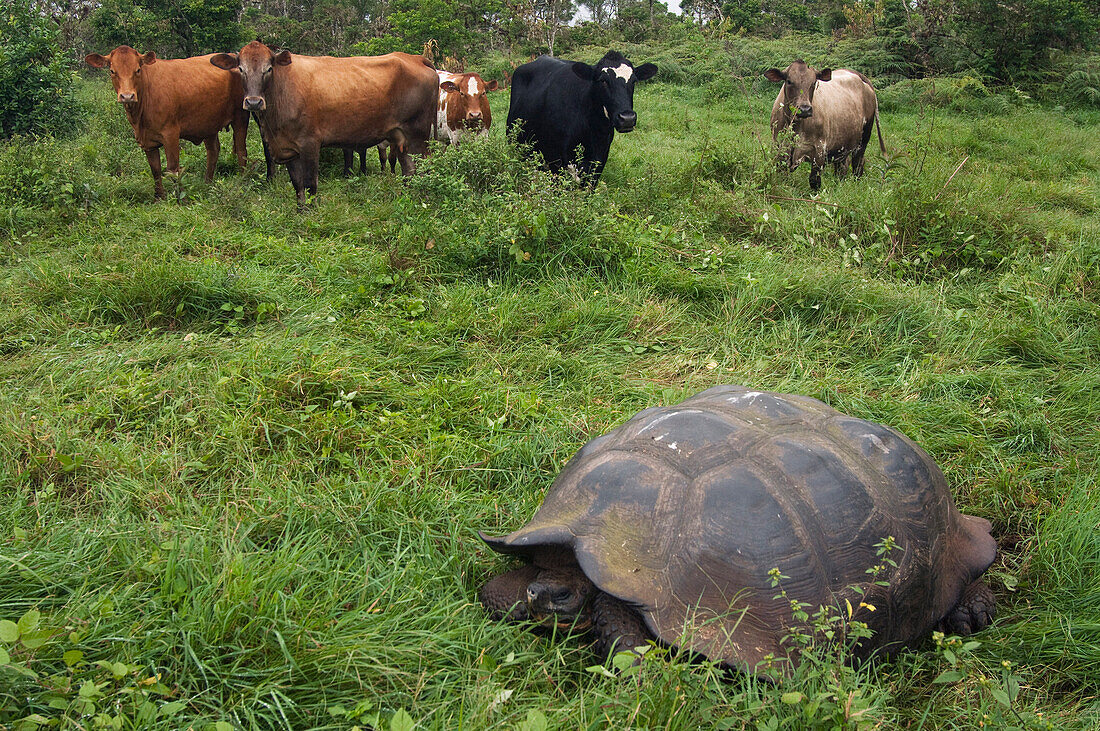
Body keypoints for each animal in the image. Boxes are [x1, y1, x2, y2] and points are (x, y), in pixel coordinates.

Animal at [86, 45, 251, 200]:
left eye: (137, 70)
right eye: (112, 71)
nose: (127, 96)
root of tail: (233, 56)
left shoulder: (170, 134)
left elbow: (173, 169)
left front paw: (180, 199)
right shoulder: (148, 141)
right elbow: (155, 170)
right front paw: (159, 197)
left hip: (241, 116)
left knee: (241, 151)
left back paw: (242, 182)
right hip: (208, 123)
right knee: (213, 150)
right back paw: (207, 184)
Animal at [210, 42, 437, 202]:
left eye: (268, 68)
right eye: (241, 69)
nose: (254, 102)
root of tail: (416, 58)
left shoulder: (310, 143)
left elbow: (310, 183)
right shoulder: (288, 147)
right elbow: (297, 184)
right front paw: (301, 212)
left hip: (419, 135)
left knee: (424, 169)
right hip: (401, 137)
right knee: (409, 169)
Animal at [503, 50, 651, 186]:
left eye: (634, 81)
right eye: (603, 80)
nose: (627, 118)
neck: (593, 133)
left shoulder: (599, 161)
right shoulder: (555, 161)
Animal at [765, 60, 884, 191]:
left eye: (813, 82)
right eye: (789, 81)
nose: (805, 109)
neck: (796, 126)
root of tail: (858, 75)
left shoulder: (819, 150)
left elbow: (814, 181)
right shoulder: (779, 147)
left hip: (864, 138)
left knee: (858, 164)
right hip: (842, 144)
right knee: (842, 166)